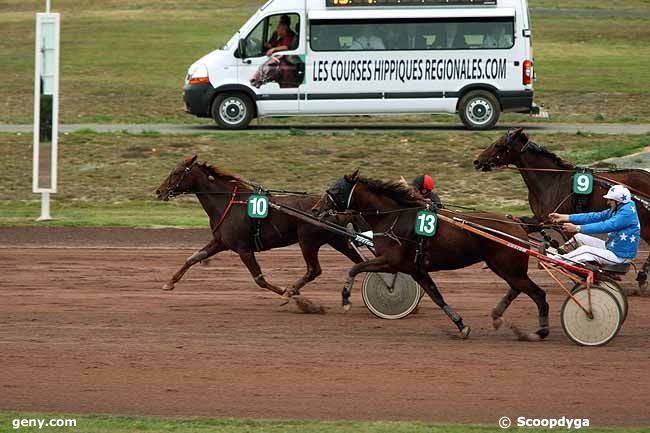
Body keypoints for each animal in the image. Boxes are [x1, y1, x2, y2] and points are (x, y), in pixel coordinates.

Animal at [155, 155, 362, 300]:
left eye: (176, 172)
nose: (159, 191)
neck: (227, 203)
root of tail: (332, 208)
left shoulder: (244, 249)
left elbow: (259, 279)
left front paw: (287, 293)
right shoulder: (220, 242)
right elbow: (193, 258)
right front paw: (169, 283)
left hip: (307, 241)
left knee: (314, 270)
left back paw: (293, 289)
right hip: (338, 240)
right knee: (358, 261)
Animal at [312, 171, 548, 340]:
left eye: (335, 189)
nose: (315, 209)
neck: (394, 218)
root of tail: (517, 223)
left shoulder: (391, 262)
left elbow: (355, 268)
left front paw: (345, 299)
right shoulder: (416, 269)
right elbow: (437, 296)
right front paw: (461, 325)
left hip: (509, 267)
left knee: (538, 294)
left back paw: (540, 331)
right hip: (504, 268)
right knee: (518, 288)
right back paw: (498, 316)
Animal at [470, 127, 648, 290]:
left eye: (498, 145)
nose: (477, 161)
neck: (551, 180)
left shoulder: (564, 226)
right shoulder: (542, 218)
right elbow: (524, 226)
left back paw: (642, 276)